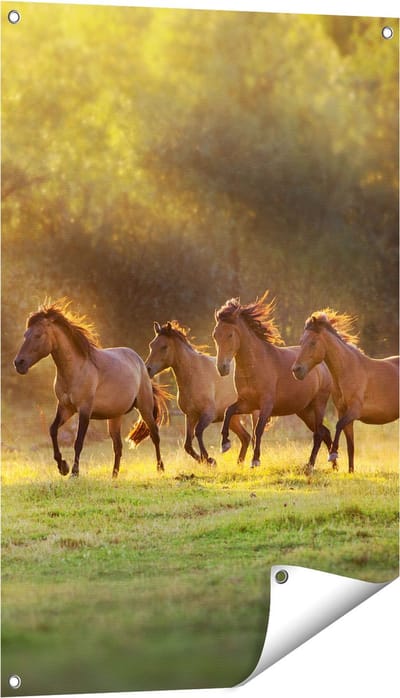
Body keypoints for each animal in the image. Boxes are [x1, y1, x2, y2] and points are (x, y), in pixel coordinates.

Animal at [13, 300, 169, 478]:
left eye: (38, 335)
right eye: (25, 335)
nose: (19, 363)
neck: (76, 369)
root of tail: (141, 363)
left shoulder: (84, 410)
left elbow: (78, 442)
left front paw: (74, 472)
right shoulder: (65, 408)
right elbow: (53, 430)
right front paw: (62, 466)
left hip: (145, 408)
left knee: (155, 435)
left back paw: (160, 469)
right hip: (115, 416)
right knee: (118, 446)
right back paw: (114, 476)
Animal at [145, 321, 255, 464]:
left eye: (164, 347)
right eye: (151, 345)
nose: (147, 368)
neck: (194, 374)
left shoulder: (208, 414)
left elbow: (198, 432)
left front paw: (209, 459)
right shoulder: (191, 416)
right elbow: (187, 445)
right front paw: (207, 460)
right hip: (233, 419)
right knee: (246, 438)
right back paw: (239, 463)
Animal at [212, 292, 334, 473]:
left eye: (230, 334)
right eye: (215, 335)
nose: (222, 368)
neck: (254, 366)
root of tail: (323, 365)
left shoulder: (266, 405)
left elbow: (258, 430)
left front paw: (255, 460)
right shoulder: (247, 403)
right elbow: (229, 411)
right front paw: (225, 444)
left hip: (319, 404)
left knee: (319, 433)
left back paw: (311, 465)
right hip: (305, 411)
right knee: (324, 432)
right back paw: (334, 463)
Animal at [292, 309, 399, 472]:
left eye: (313, 342)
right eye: (300, 342)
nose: (296, 370)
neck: (348, 370)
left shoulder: (354, 411)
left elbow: (338, 426)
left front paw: (333, 454)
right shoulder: (343, 412)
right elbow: (350, 446)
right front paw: (350, 471)